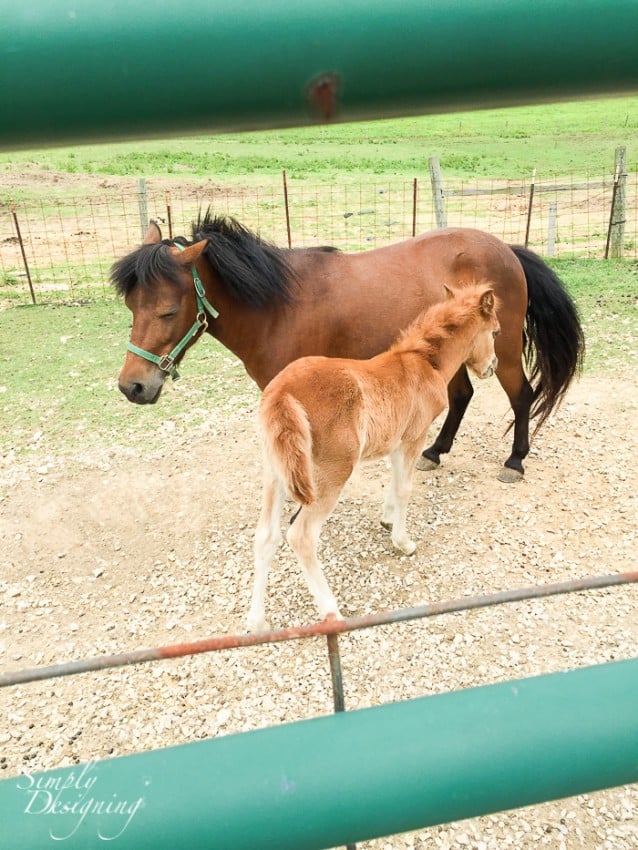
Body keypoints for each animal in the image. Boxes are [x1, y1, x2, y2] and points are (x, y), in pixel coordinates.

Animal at [114, 210, 584, 480]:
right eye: (130, 305)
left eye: (168, 311)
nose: (132, 386)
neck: (277, 306)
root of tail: (506, 250)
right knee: (462, 396)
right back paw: (434, 451)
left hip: (503, 353)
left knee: (522, 396)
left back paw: (515, 461)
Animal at [248, 282, 502, 628]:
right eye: (496, 331)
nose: (493, 366)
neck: (426, 363)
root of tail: (282, 394)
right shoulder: (414, 438)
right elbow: (406, 488)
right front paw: (403, 542)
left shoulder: (396, 442)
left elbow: (394, 483)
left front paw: (386, 518)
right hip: (331, 474)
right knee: (301, 536)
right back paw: (331, 611)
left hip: (275, 474)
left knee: (266, 537)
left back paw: (256, 622)